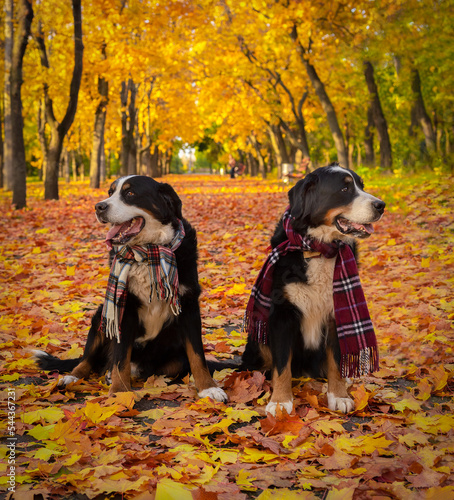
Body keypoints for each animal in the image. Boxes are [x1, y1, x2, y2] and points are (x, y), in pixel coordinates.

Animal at [35, 176, 227, 402]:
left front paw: (208, 388)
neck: (148, 253)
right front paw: (119, 392)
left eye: (130, 193)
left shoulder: (188, 305)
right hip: (101, 316)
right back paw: (73, 378)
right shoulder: (122, 309)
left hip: (173, 358)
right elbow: (121, 358)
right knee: (88, 360)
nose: (99, 206)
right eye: (110, 192)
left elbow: (197, 354)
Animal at [243, 163, 384, 414]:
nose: (381, 205)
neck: (319, 249)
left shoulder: (337, 313)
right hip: (259, 336)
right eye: (345, 188)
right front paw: (280, 402)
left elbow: (336, 363)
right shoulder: (282, 315)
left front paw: (339, 396)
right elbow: (282, 366)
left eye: (361, 185)